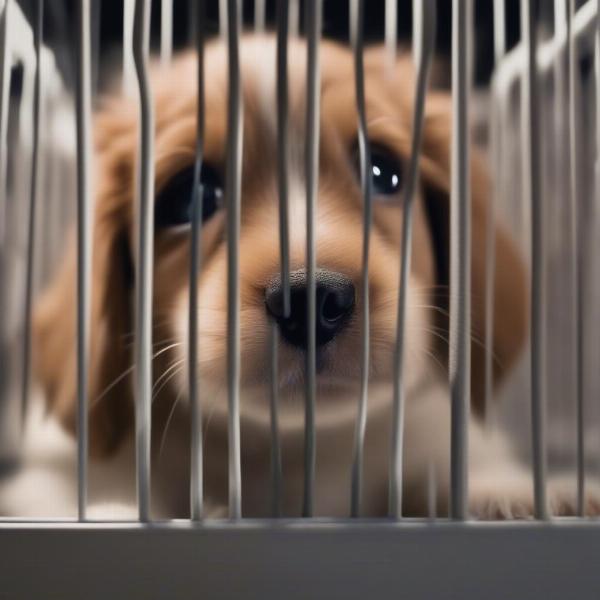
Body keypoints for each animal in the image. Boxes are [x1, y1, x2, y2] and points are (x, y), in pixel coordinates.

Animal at [3, 35, 596, 516]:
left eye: (382, 171)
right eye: (189, 196)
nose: (313, 299)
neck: (284, 452)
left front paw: (523, 493)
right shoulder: (55, 474)